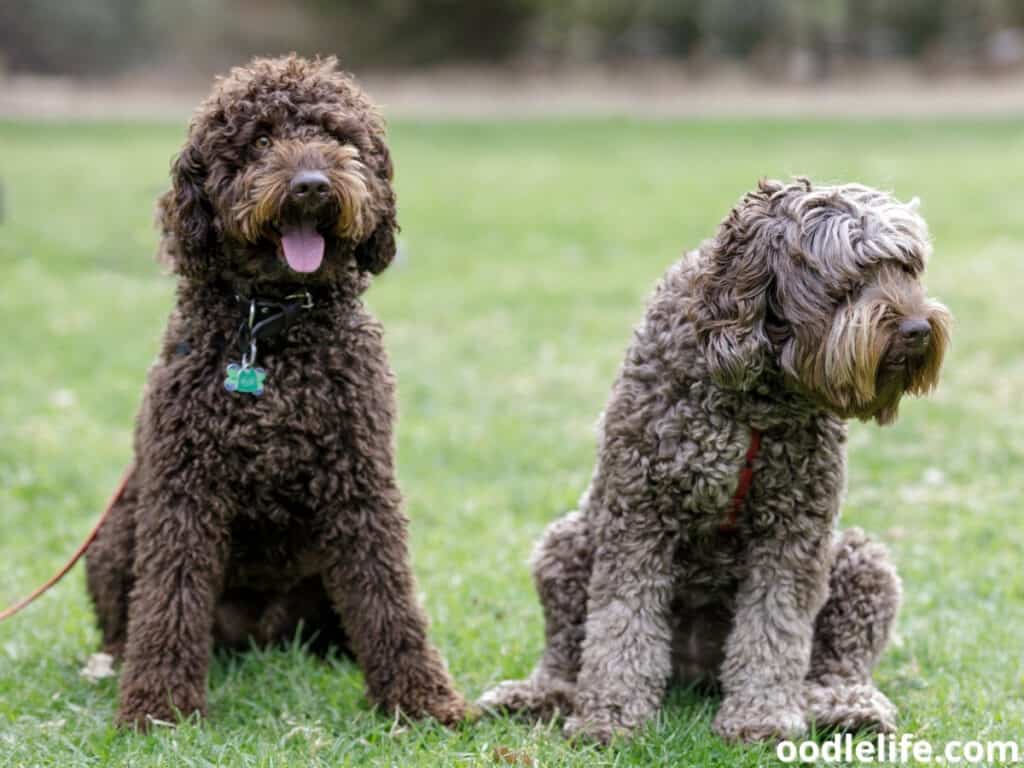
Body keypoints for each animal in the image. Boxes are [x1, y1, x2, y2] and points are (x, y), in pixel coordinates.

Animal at [86, 55, 466, 733]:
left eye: (338, 138)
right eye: (260, 141)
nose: (312, 185)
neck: (271, 326)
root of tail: (261, 636)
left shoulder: (361, 483)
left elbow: (389, 595)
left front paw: (420, 699)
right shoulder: (183, 490)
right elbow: (169, 596)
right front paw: (159, 706)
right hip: (115, 533)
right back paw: (117, 661)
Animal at [479, 179, 950, 745]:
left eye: (908, 268)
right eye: (854, 277)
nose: (918, 328)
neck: (755, 390)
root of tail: (696, 670)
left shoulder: (795, 532)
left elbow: (775, 629)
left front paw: (761, 719)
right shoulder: (637, 515)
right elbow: (620, 625)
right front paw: (609, 717)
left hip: (861, 562)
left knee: (839, 658)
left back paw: (844, 705)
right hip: (566, 544)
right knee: (567, 649)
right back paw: (540, 693)